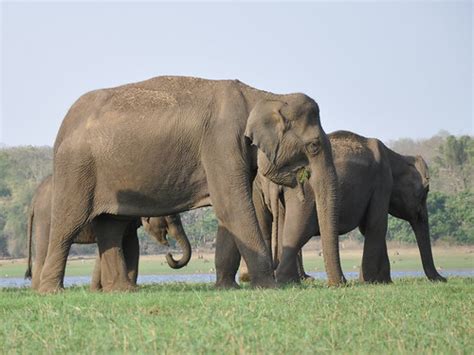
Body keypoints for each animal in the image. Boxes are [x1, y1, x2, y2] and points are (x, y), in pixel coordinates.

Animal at [25, 176, 193, 292]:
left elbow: (126, 244)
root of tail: (33, 200)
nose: (169, 253)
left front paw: (98, 290)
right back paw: (37, 289)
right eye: (171, 219)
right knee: (43, 251)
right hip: (46, 218)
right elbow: (129, 245)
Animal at [243, 131, 446, 284]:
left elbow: (368, 228)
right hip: (304, 193)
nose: (443, 279)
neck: (396, 156)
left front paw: (383, 281)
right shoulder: (382, 183)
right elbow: (376, 225)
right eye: (425, 192)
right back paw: (289, 280)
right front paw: (370, 282)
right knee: (297, 231)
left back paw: (290, 280)